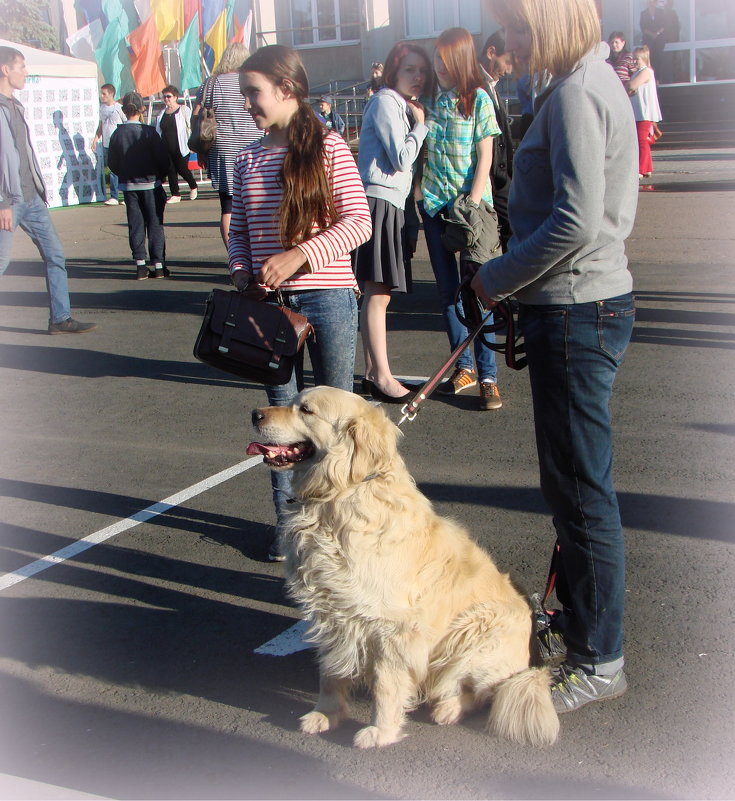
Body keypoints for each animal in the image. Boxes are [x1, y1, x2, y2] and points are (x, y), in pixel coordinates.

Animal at [247, 388, 556, 752]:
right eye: (293, 400)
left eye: (306, 410)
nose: (255, 414)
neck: (341, 493)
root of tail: (532, 660)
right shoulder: (333, 612)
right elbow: (330, 672)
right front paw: (326, 714)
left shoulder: (392, 628)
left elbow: (386, 683)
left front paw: (381, 731)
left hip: (475, 631)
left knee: (484, 691)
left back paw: (449, 707)